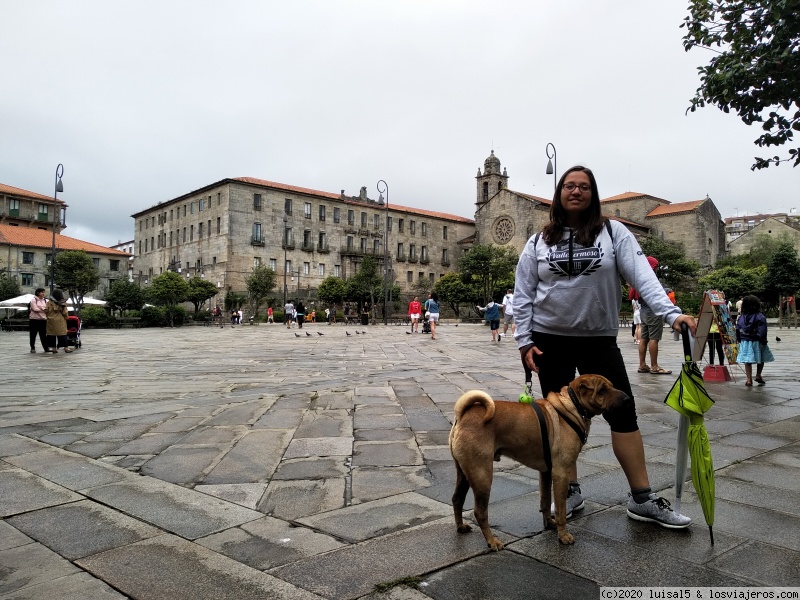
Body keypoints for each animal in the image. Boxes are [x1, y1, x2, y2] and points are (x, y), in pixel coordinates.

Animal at [450, 376, 624, 548]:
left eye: (611, 386)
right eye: (602, 390)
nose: (626, 398)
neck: (573, 406)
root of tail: (463, 416)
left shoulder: (546, 472)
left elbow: (545, 502)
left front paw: (550, 524)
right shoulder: (561, 472)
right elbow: (560, 510)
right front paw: (563, 535)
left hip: (465, 473)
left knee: (457, 499)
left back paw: (461, 527)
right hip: (482, 475)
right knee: (480, 512)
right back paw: (492, 541)